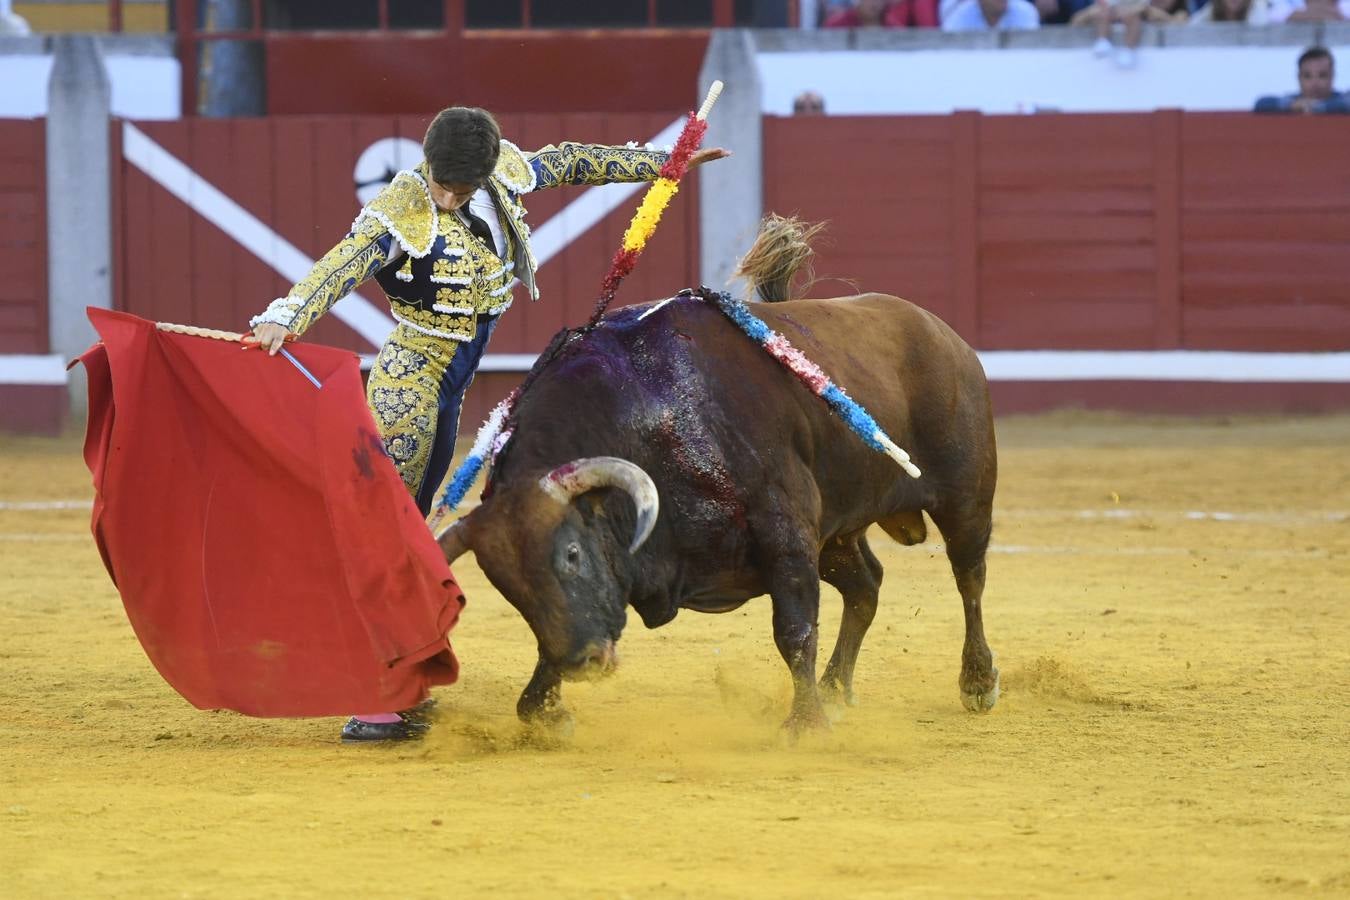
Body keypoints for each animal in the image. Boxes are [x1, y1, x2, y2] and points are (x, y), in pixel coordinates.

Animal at [437, 215, 999, 734]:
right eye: (504, 584)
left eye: (572, 554)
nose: (583, 663)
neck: (652, 417)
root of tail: (942, 333)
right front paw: (547, 709)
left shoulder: (785, 529)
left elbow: (794, 630)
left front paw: (805, 725)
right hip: (836, 533)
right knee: (866, 586)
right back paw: (836, 689)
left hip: (965, 497)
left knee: (969, 577)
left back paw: (976, 681)